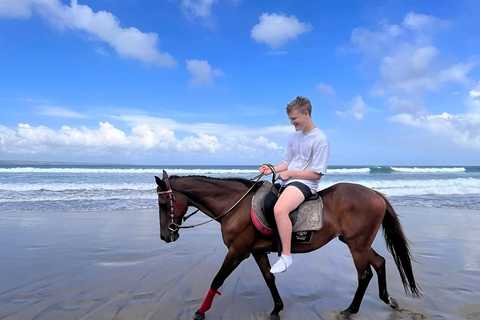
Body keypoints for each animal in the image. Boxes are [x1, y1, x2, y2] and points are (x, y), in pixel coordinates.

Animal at [155, 171, 420, 318]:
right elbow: (269, 278)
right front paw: (276, 309)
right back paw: (387, 300)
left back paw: (350, 310)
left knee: (364, 274)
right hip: (357, 243)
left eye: (162, 204)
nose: (166, 236)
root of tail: (376, 194)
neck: (235, 206)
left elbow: (217, 280)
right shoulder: (257, 251)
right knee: (380, 262)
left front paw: (200, 312)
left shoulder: (237, 252)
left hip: (357, 246)